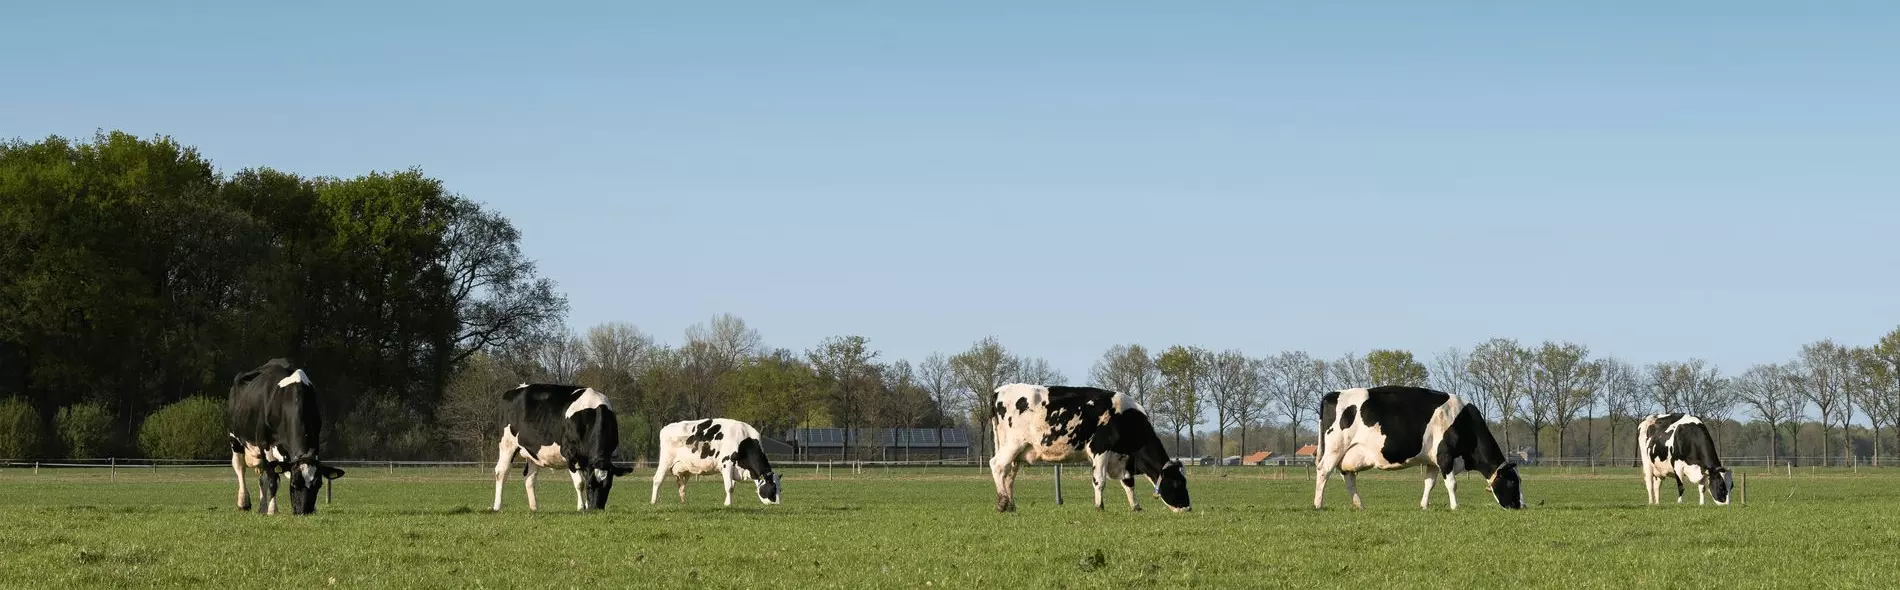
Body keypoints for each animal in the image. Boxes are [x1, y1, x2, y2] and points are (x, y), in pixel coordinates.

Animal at [227, 358, 346, 515]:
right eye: (294, 483)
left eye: (318, 484)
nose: (304, 511)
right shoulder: (265, 445)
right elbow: (273, 480)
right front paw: (272, 510)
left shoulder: (314, 442)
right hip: (235, 439)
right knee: (240, 469)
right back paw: (244, 503)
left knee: (262, 479)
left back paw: (262, 508)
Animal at [491, 384, 634, 511]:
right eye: (590, 486)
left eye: (608, 486)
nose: (596, 509)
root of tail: (513, 390)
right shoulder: (570, 454)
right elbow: (580, 483)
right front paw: (581, 507)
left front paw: (586, 506)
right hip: (507, 444)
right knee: (501, 472)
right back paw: (497, 506)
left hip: (533, 452)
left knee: (529, 478)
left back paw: (534, 508)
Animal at [650, 418, 782, 506]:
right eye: (772, 489)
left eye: (780, 490)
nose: (778, 505)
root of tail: (666, 428)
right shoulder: (727, 464)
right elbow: (729, 487)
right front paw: (728, 504)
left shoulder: (735, 468)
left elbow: (732, 486)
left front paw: (728, 502)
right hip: (666, 461)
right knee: (657, 480)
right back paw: (653, 501)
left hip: (685, 468)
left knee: (681, 484)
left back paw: (684, 502)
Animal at [988, 383, 1190, 513]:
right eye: (1178, 483)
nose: (1188, 507)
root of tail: (999, 390)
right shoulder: (1100, 449)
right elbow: (1099, 480)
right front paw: (1099, 507)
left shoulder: (1124, 459)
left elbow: (1128, 482)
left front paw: (1136, 507)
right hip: (1013, 444)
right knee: (996, 465)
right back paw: (1002, 503)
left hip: (1018, 452)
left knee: (1009, 476)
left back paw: (1012, 505)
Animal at [1314, 386, 1524, 510]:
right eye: (1512, 482)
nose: (1521, 506)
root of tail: (1333, 393)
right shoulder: (1445, 456)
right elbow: (1452, 484)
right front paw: (1455, 506)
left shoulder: (1432, 461)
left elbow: (1429, 483)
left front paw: (1423, 505)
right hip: (1335, 448)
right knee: (1323, 471)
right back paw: (1318, 504)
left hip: (1348, 455)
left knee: (1348, 478)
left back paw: (1359, 505)